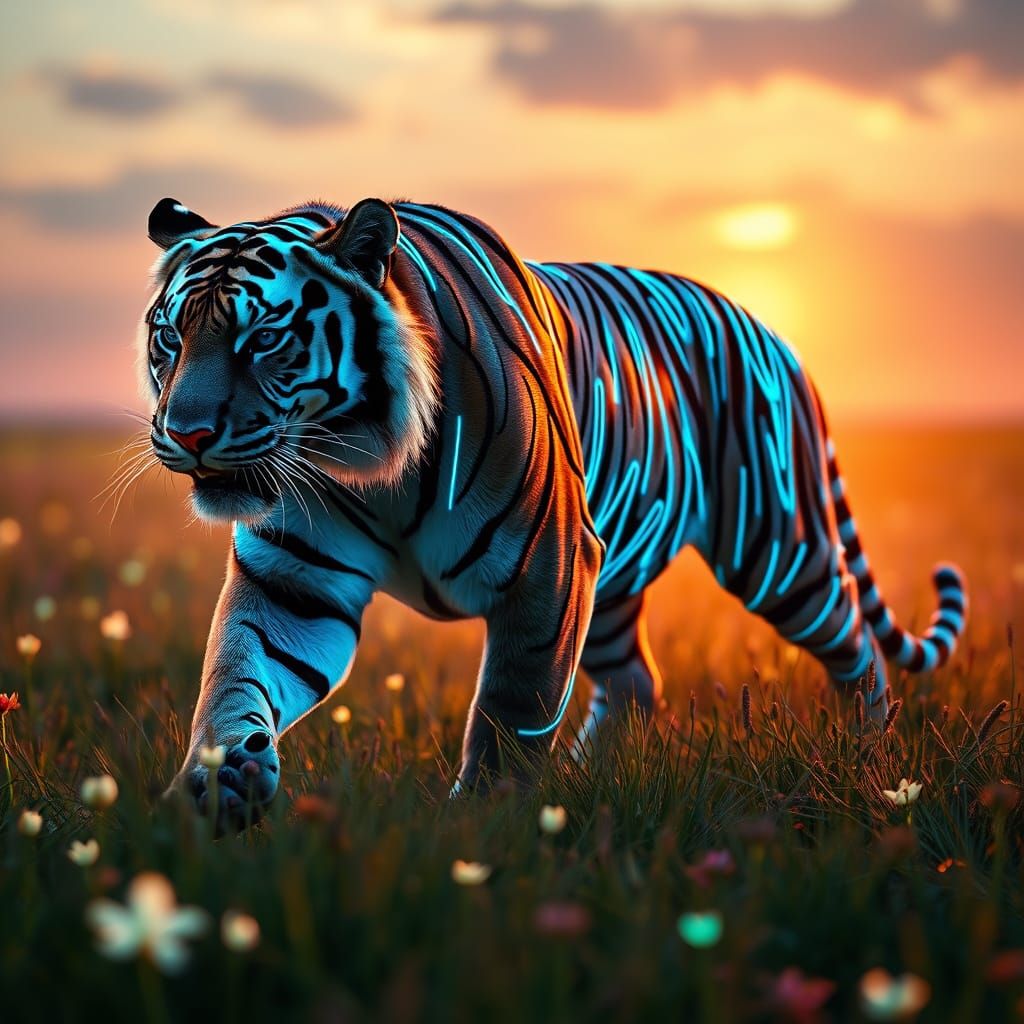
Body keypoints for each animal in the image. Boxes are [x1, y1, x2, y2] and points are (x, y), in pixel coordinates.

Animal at [142, 195, 967, 826]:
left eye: (263, 339)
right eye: (170, 339)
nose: (187, 433)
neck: (370, 466)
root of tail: (775, 333)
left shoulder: (545, 570)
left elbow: (512, 709)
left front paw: (479, 828)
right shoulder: (293, 579)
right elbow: (237, 672)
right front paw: (222, 780)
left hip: (775, 553)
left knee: (855, 644)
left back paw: (869, 753)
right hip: (614, 582)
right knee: (638, 682)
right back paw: (583, 772)